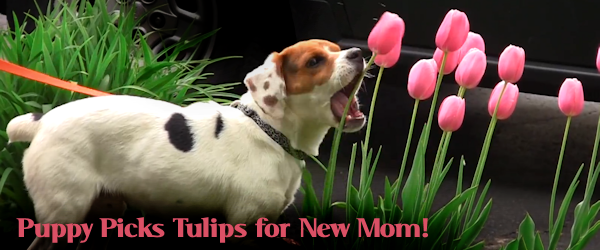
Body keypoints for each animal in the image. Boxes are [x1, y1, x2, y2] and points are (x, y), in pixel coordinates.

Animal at [7, 38, 368, 248]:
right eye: (314, 61)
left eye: (336, 49)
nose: (359, 52)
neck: (270, 130)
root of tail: (42, 122)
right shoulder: (242, 221)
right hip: (63, 212)